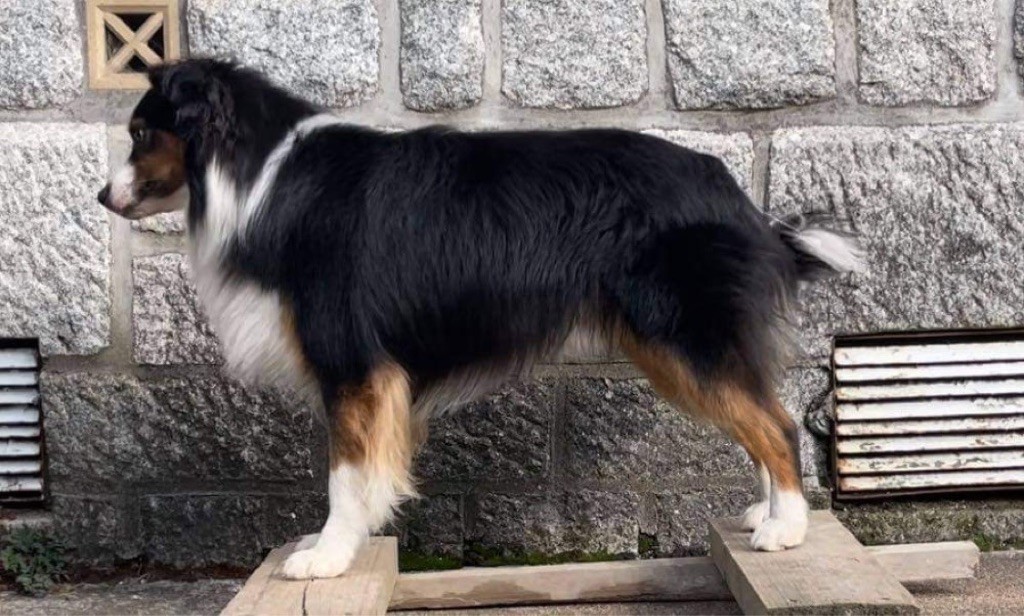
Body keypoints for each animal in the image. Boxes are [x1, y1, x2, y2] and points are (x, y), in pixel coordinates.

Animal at [97, 59, 865, 579]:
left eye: (140, 133)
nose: (103, 196)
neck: (257, 173)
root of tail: (736, 192)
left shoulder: (352, 363)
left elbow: (345, 473)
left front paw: (326, 556)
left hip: (682, 334)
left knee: (777, 423)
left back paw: (788, 530)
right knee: (757, 414)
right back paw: (767, 513)